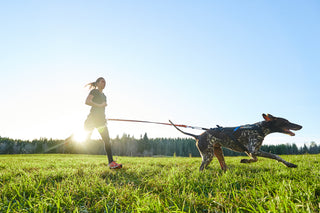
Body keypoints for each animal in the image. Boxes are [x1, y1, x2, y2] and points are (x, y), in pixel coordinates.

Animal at [170, 113, 302, 171]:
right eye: (286, 122)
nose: (300, 126)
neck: (259, 128)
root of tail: (197, 136)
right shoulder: (253, 150)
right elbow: (276, 156)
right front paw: (289, 164)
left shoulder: (251, 151)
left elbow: (254, 159)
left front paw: (245, 161)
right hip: (208, 155)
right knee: (201, 168)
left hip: (217, 152)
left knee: (222, 167)